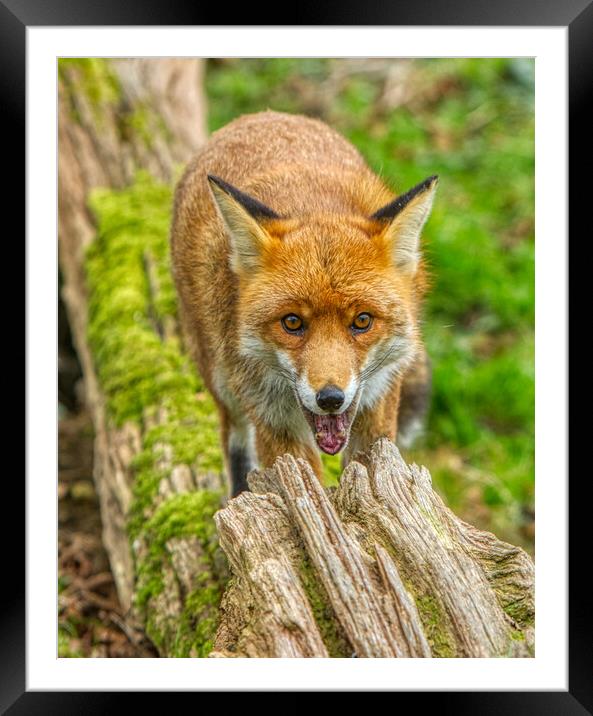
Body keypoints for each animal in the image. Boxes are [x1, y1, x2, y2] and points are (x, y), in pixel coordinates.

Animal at [171, 110, 434, 498]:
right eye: (292, 322)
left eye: (362, 321)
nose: (330, 399)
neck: (312, 202)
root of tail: (261, 116)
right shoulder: (274, 418)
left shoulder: (379, 400)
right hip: (222, 383)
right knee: (236, 441)